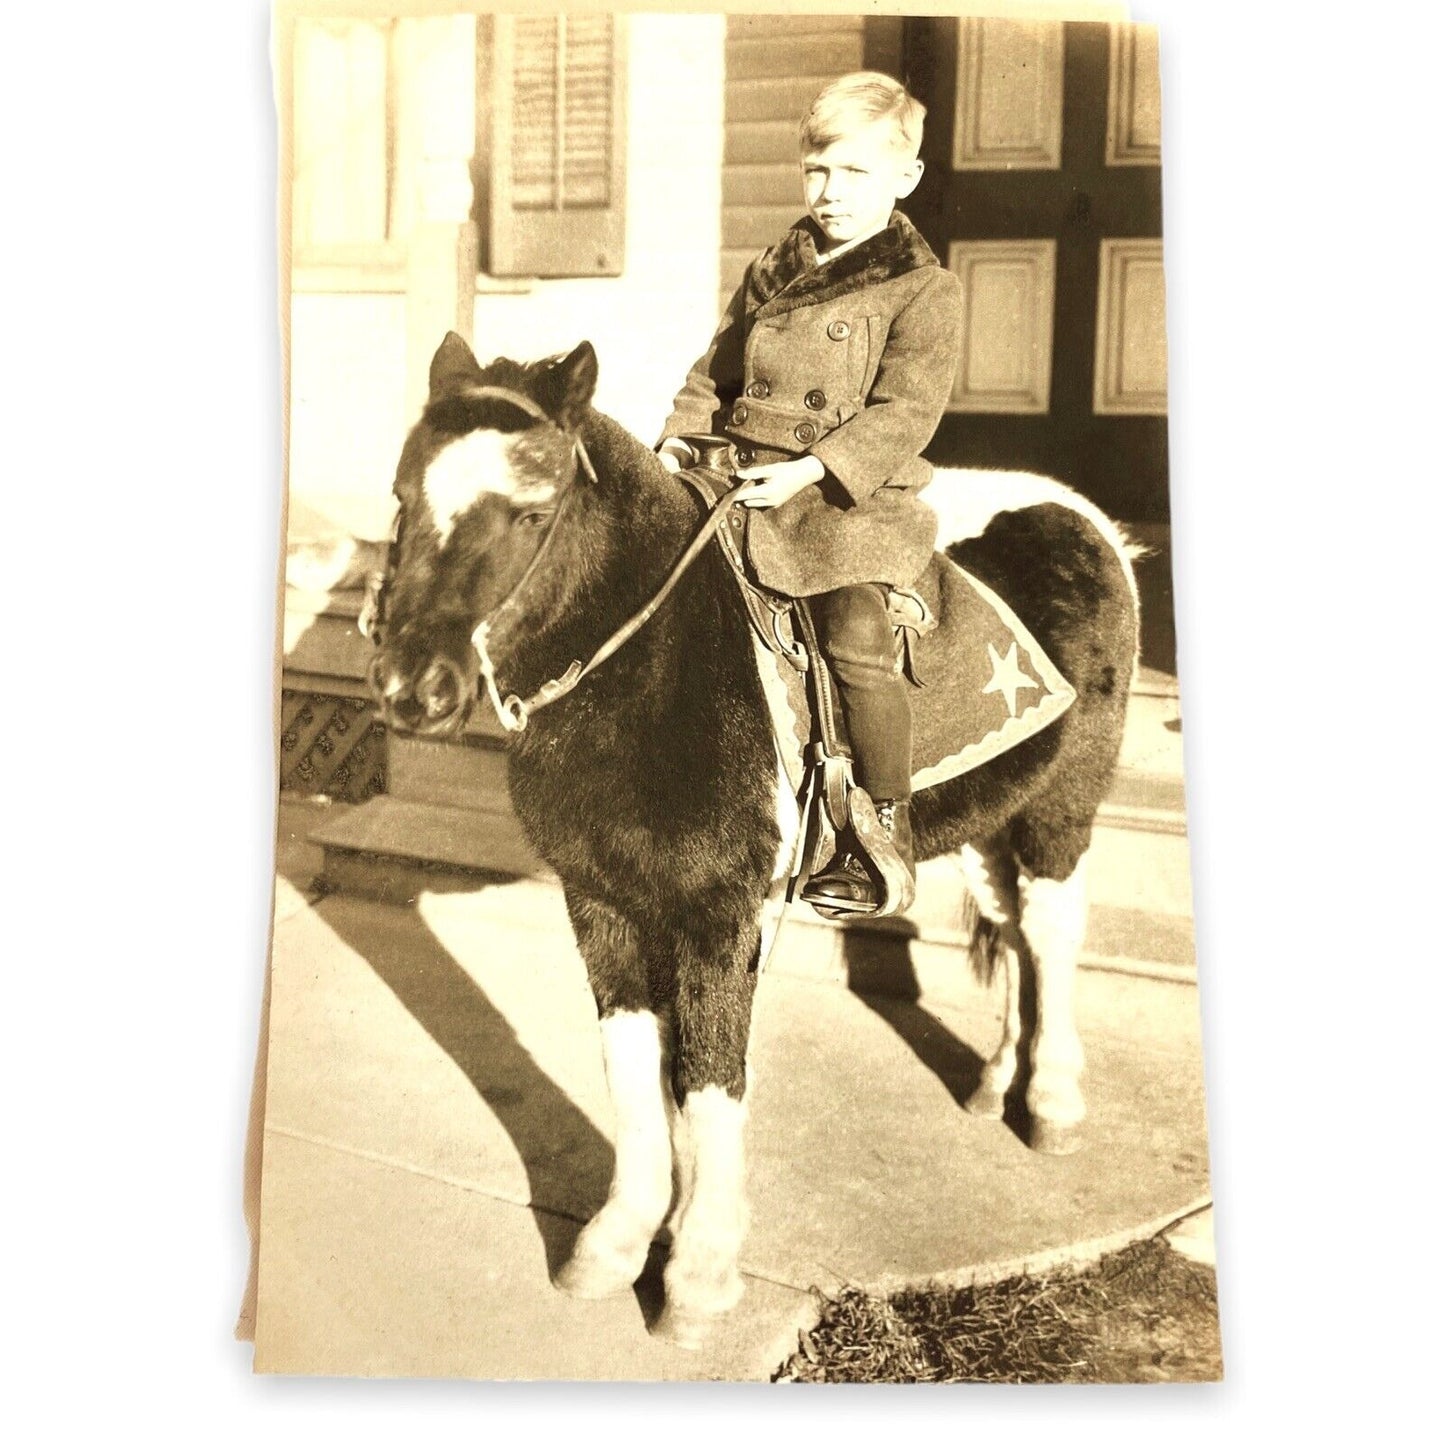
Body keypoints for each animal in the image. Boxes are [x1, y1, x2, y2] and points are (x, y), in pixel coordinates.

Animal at [367, 332, 1132, 1346]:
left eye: (530, 512)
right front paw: (618, 1244)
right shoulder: (601, 900)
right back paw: (993, 1081)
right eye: (403, 498)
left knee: (1049, 934)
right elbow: (634, 1066)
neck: (659, 660)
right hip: (990, 817)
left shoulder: (722, 911)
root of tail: (1088, 521)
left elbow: (708, 1075)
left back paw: (1050, 1102)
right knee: (1009, 932)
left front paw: (698, 1274)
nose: (413, 687)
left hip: (1061, 809)